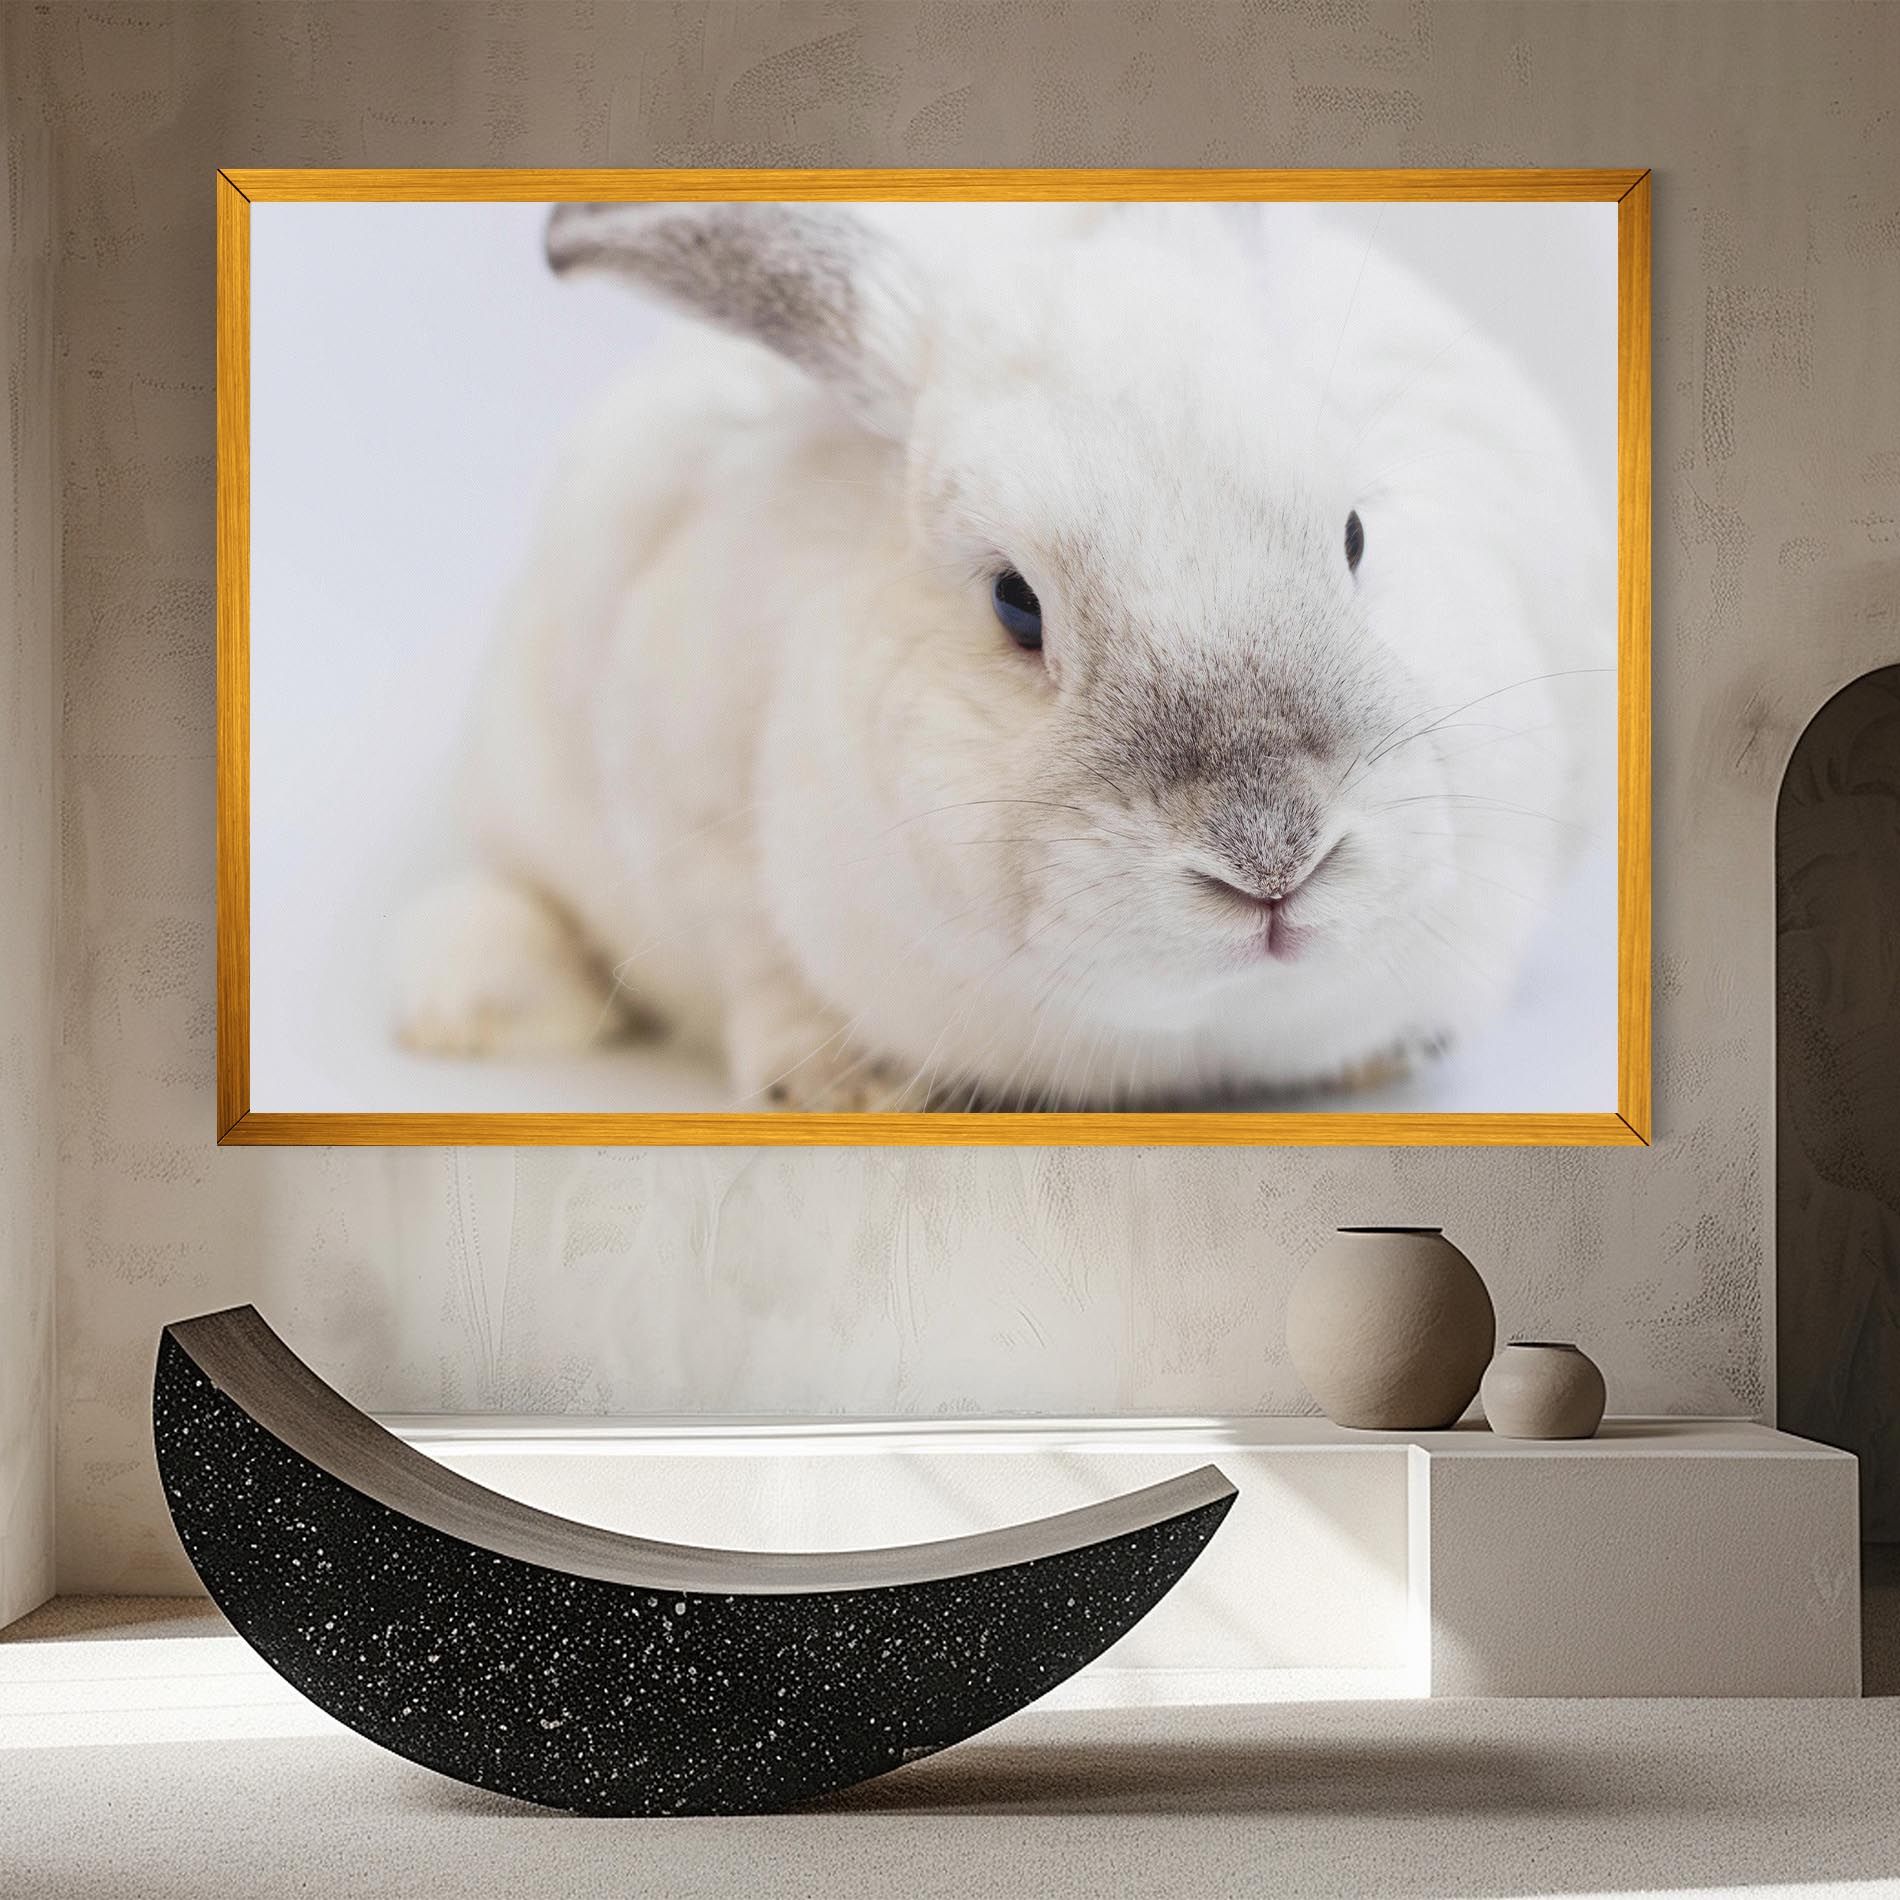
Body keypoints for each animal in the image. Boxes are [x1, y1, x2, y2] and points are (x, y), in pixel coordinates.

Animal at [391, 199, 1614, 1111]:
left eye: (1355, 534)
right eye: (1015, 604)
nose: (1271, 860)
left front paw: (1387, 1053)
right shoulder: (690, 821)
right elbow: (760, 969)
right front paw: (844, 1084)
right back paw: (466, 1007)